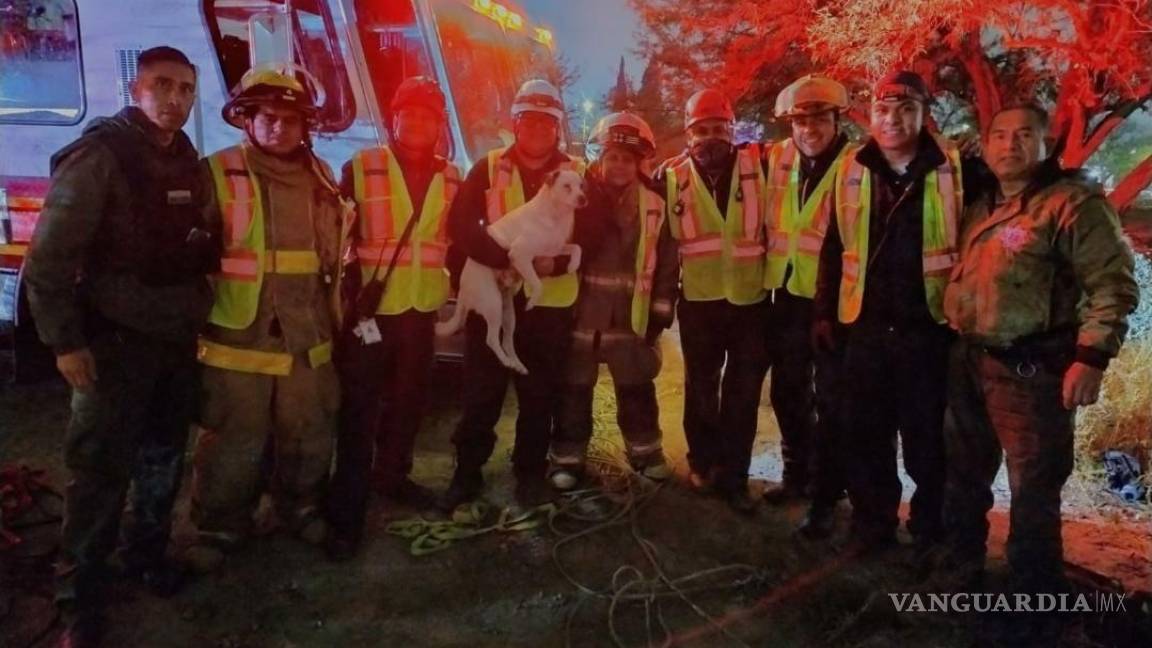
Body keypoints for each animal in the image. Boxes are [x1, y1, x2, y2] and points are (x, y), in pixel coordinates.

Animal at [437, 167, 589, 373]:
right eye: (567, 186)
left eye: (581, 186)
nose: (583, 198)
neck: (554, 215)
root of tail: (462, 291)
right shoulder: (520, 255)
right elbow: (538, 284)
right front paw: (532, 302)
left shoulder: (555, 249)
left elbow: (576, 247)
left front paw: (573, 264)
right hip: (493, 304)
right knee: (492, 339)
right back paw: (506, 361)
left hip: (508, 314)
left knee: (507, 341)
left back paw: (517, 363)